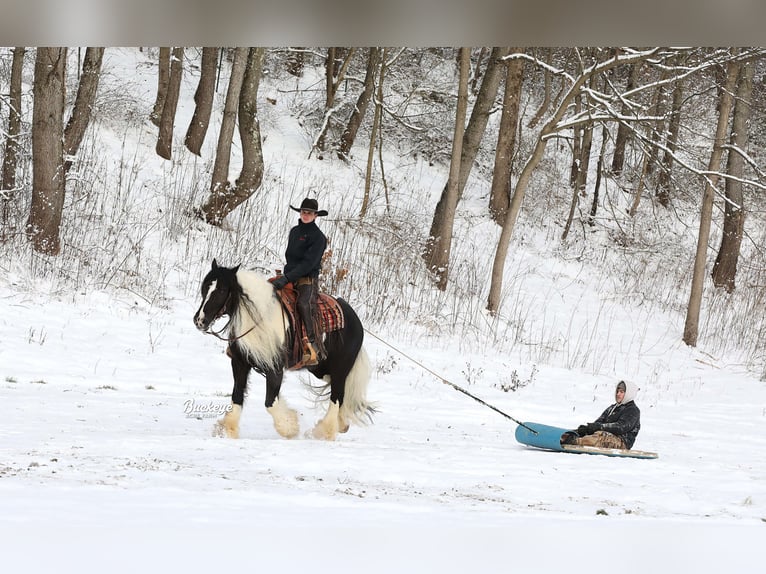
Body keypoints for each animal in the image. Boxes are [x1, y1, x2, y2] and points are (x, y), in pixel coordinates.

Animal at [194, 258, 376, 444]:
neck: (260, 318)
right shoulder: (240, 363)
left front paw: (290, 428)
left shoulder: (275, 369)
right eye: (205, 287)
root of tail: (355, 319)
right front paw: (227, 431)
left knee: (337, 397)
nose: (199, 320)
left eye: (222, 290)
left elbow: (270, 403)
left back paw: (324, 432)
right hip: (320, 369)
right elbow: (237, 396)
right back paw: (341, 424)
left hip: (340, 369)